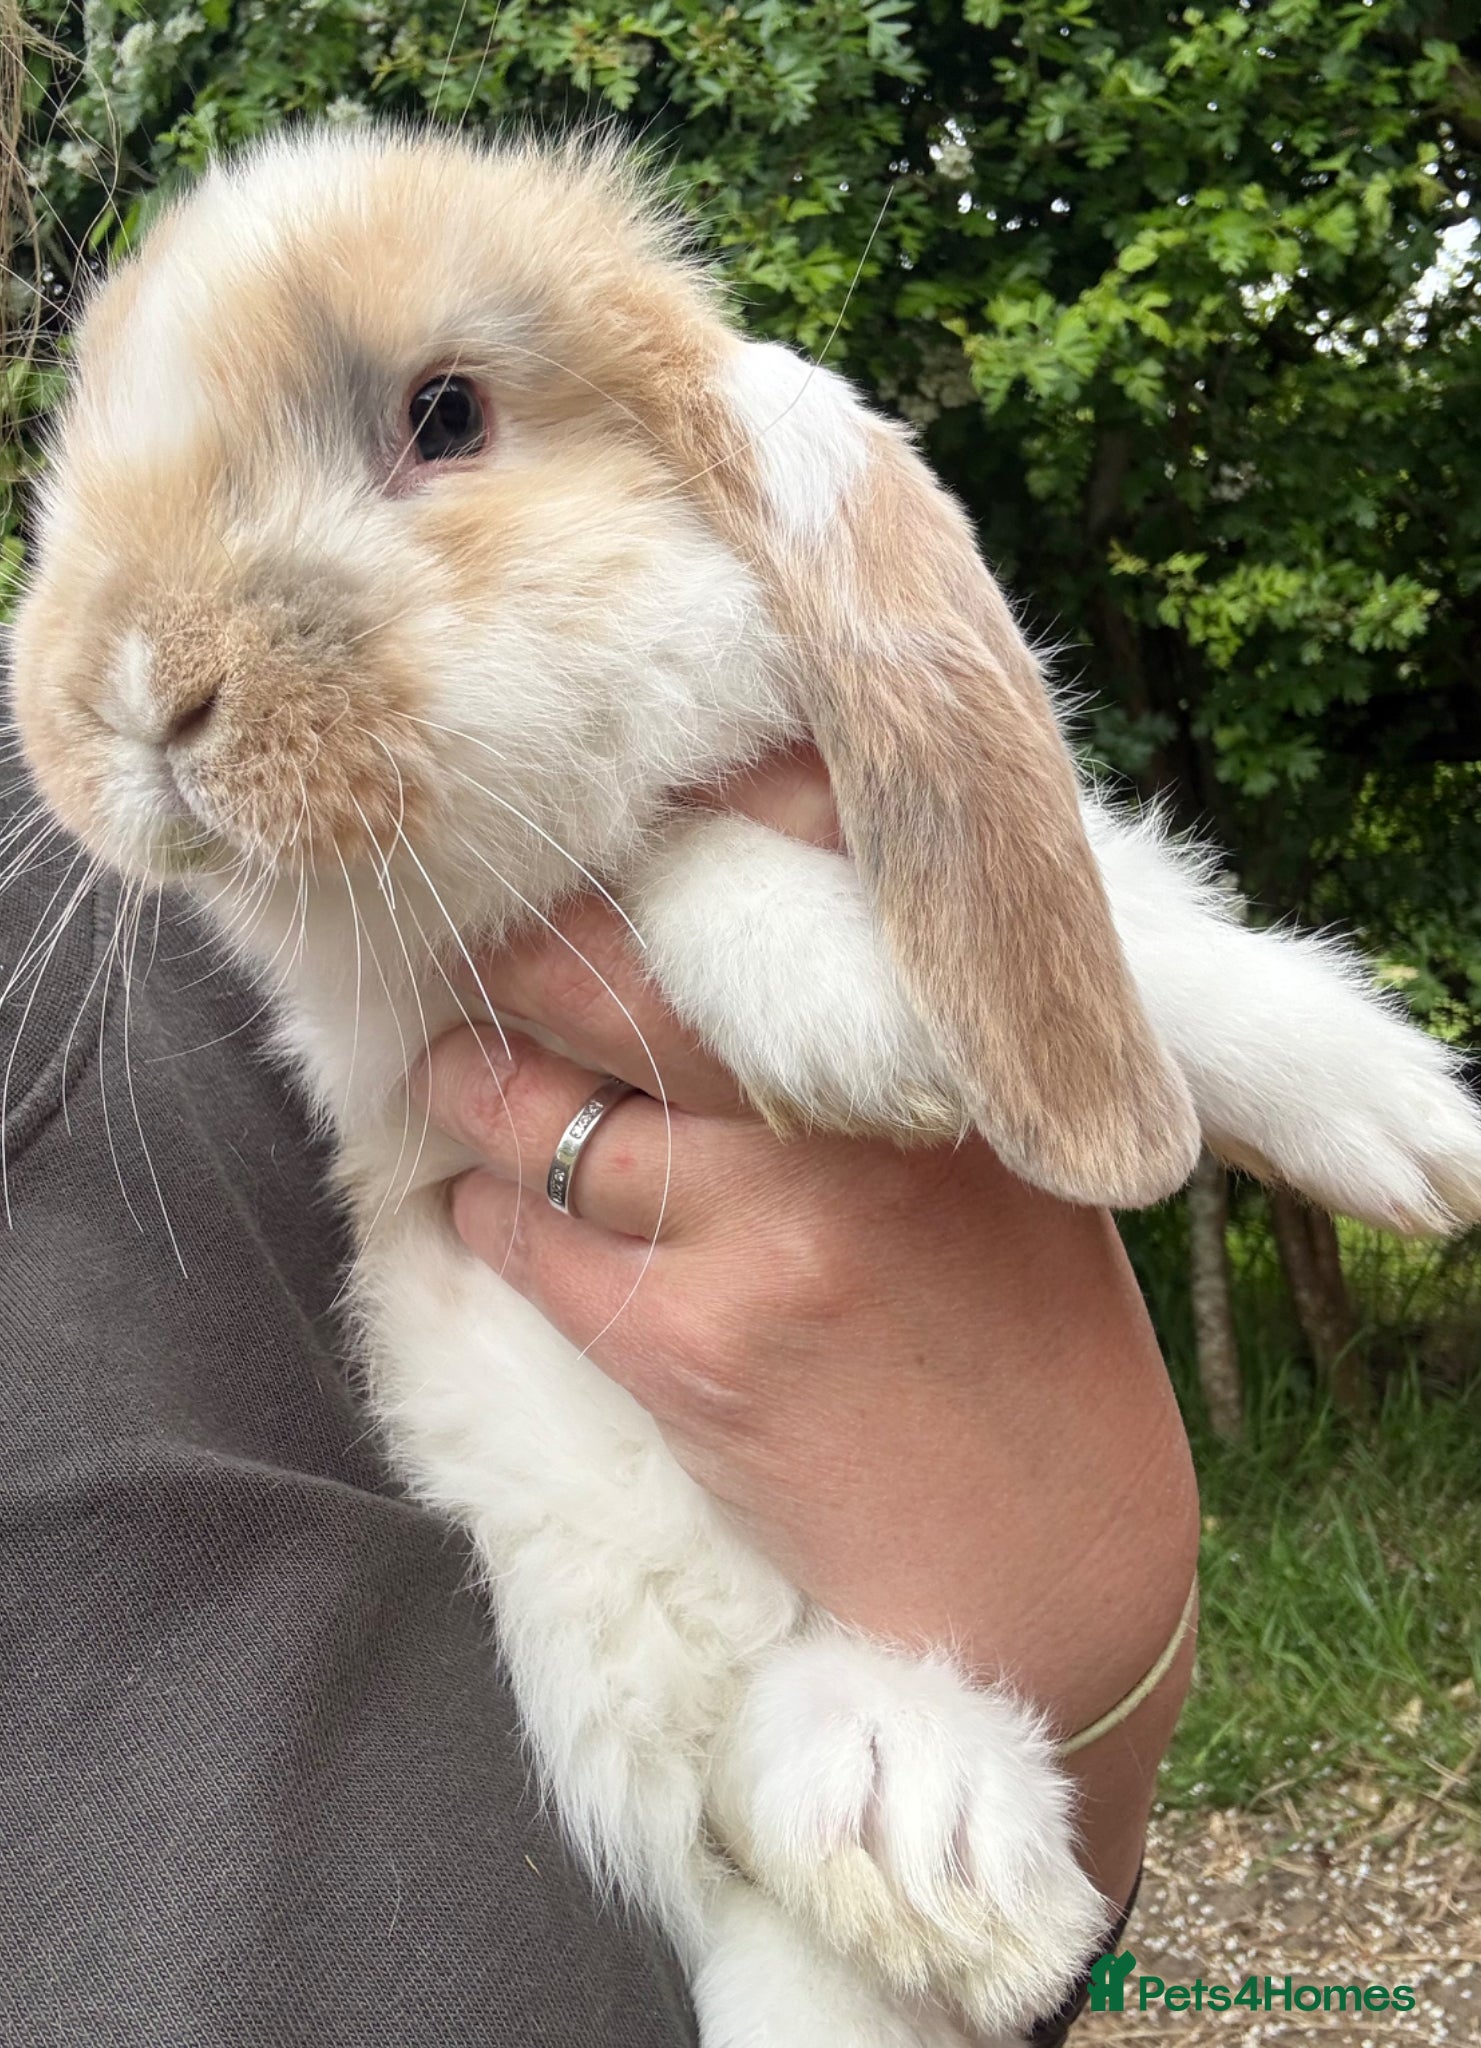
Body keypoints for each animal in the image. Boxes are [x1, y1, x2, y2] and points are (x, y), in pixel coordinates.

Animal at [11, 126, 1481, 2047]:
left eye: (446, 413)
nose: (139, 690)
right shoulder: (392, 1031)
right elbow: (661, 865)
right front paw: (875, 1021)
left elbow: (1141, 941)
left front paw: (1414, 1132)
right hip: (570, 1567)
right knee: (728, 1798)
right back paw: (931, 1831)